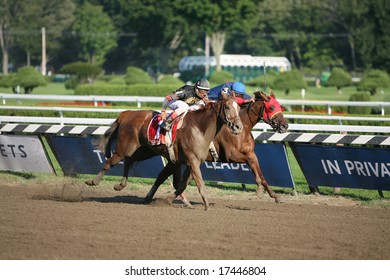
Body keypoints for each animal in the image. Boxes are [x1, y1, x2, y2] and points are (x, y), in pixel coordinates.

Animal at [86, 93, 244, 210]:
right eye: (228, 107)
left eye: (239, 108)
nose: (238, 127)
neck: (200, 128)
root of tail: (127, 113)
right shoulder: (192, 161)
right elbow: (199, 184)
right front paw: (206, 206)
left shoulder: (192, 162)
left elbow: (182, 184)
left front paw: (170, 200)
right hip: (124, 149)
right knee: (110, 162)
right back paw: (92, 181)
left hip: (144, 151)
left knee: (129, 160)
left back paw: (120, 185)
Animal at [144, 91, 290, 205]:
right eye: (271, 107)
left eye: (281, 107)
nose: (284, 126)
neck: (242, 130)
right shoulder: (230, 155)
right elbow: (251, 164)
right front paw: (259, 189)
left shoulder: (250, 153)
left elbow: (259, 170)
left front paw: (275, 195)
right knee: (166, 177)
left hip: (176, 159)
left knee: (164, 176)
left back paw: (154, 198)